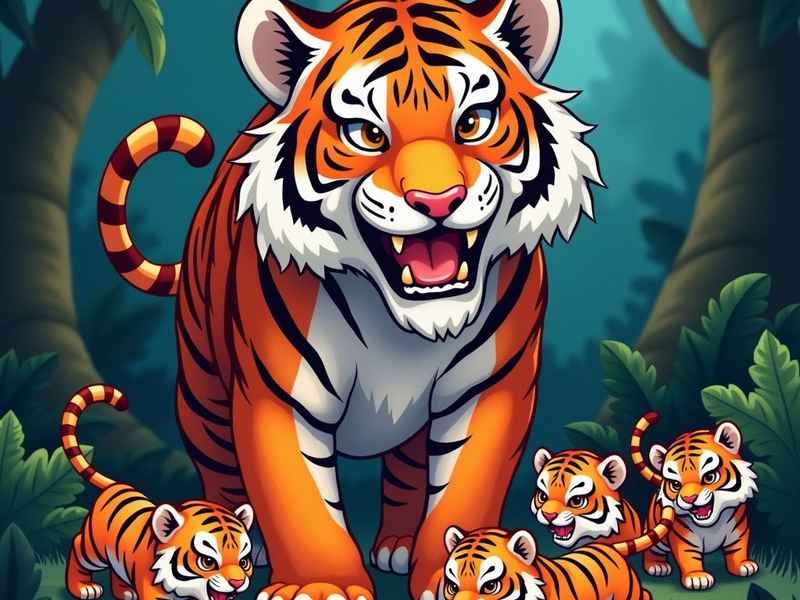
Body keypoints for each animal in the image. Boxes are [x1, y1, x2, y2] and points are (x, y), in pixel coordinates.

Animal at [61, 384, 255, 600]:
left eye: (244, 562)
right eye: (207, 562)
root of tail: (118, 485)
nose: (238, 583)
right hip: (93, 547)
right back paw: (83, 588)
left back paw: (126, 592)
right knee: (77, 545)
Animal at [96, 0, 602, 598]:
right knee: (217, 464)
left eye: (472, 123)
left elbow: (463, 489)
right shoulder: (279, 397)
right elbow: (299, 498)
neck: (404, 328)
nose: (438, 200)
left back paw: (399, 544)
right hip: (202, 388)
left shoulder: (491, 389)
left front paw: (455, 572)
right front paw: (320, 585)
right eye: (366, 133)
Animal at [630, 411, 759, 591]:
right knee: (652, 549)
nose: (688, 498)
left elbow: (738, 549)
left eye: (709, 477)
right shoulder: (683, 539)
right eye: (676, 484)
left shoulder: (739, 531)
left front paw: (743, 565)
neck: (712, 525)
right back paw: (656, 566)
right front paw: (697, 577)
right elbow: (688, 557)